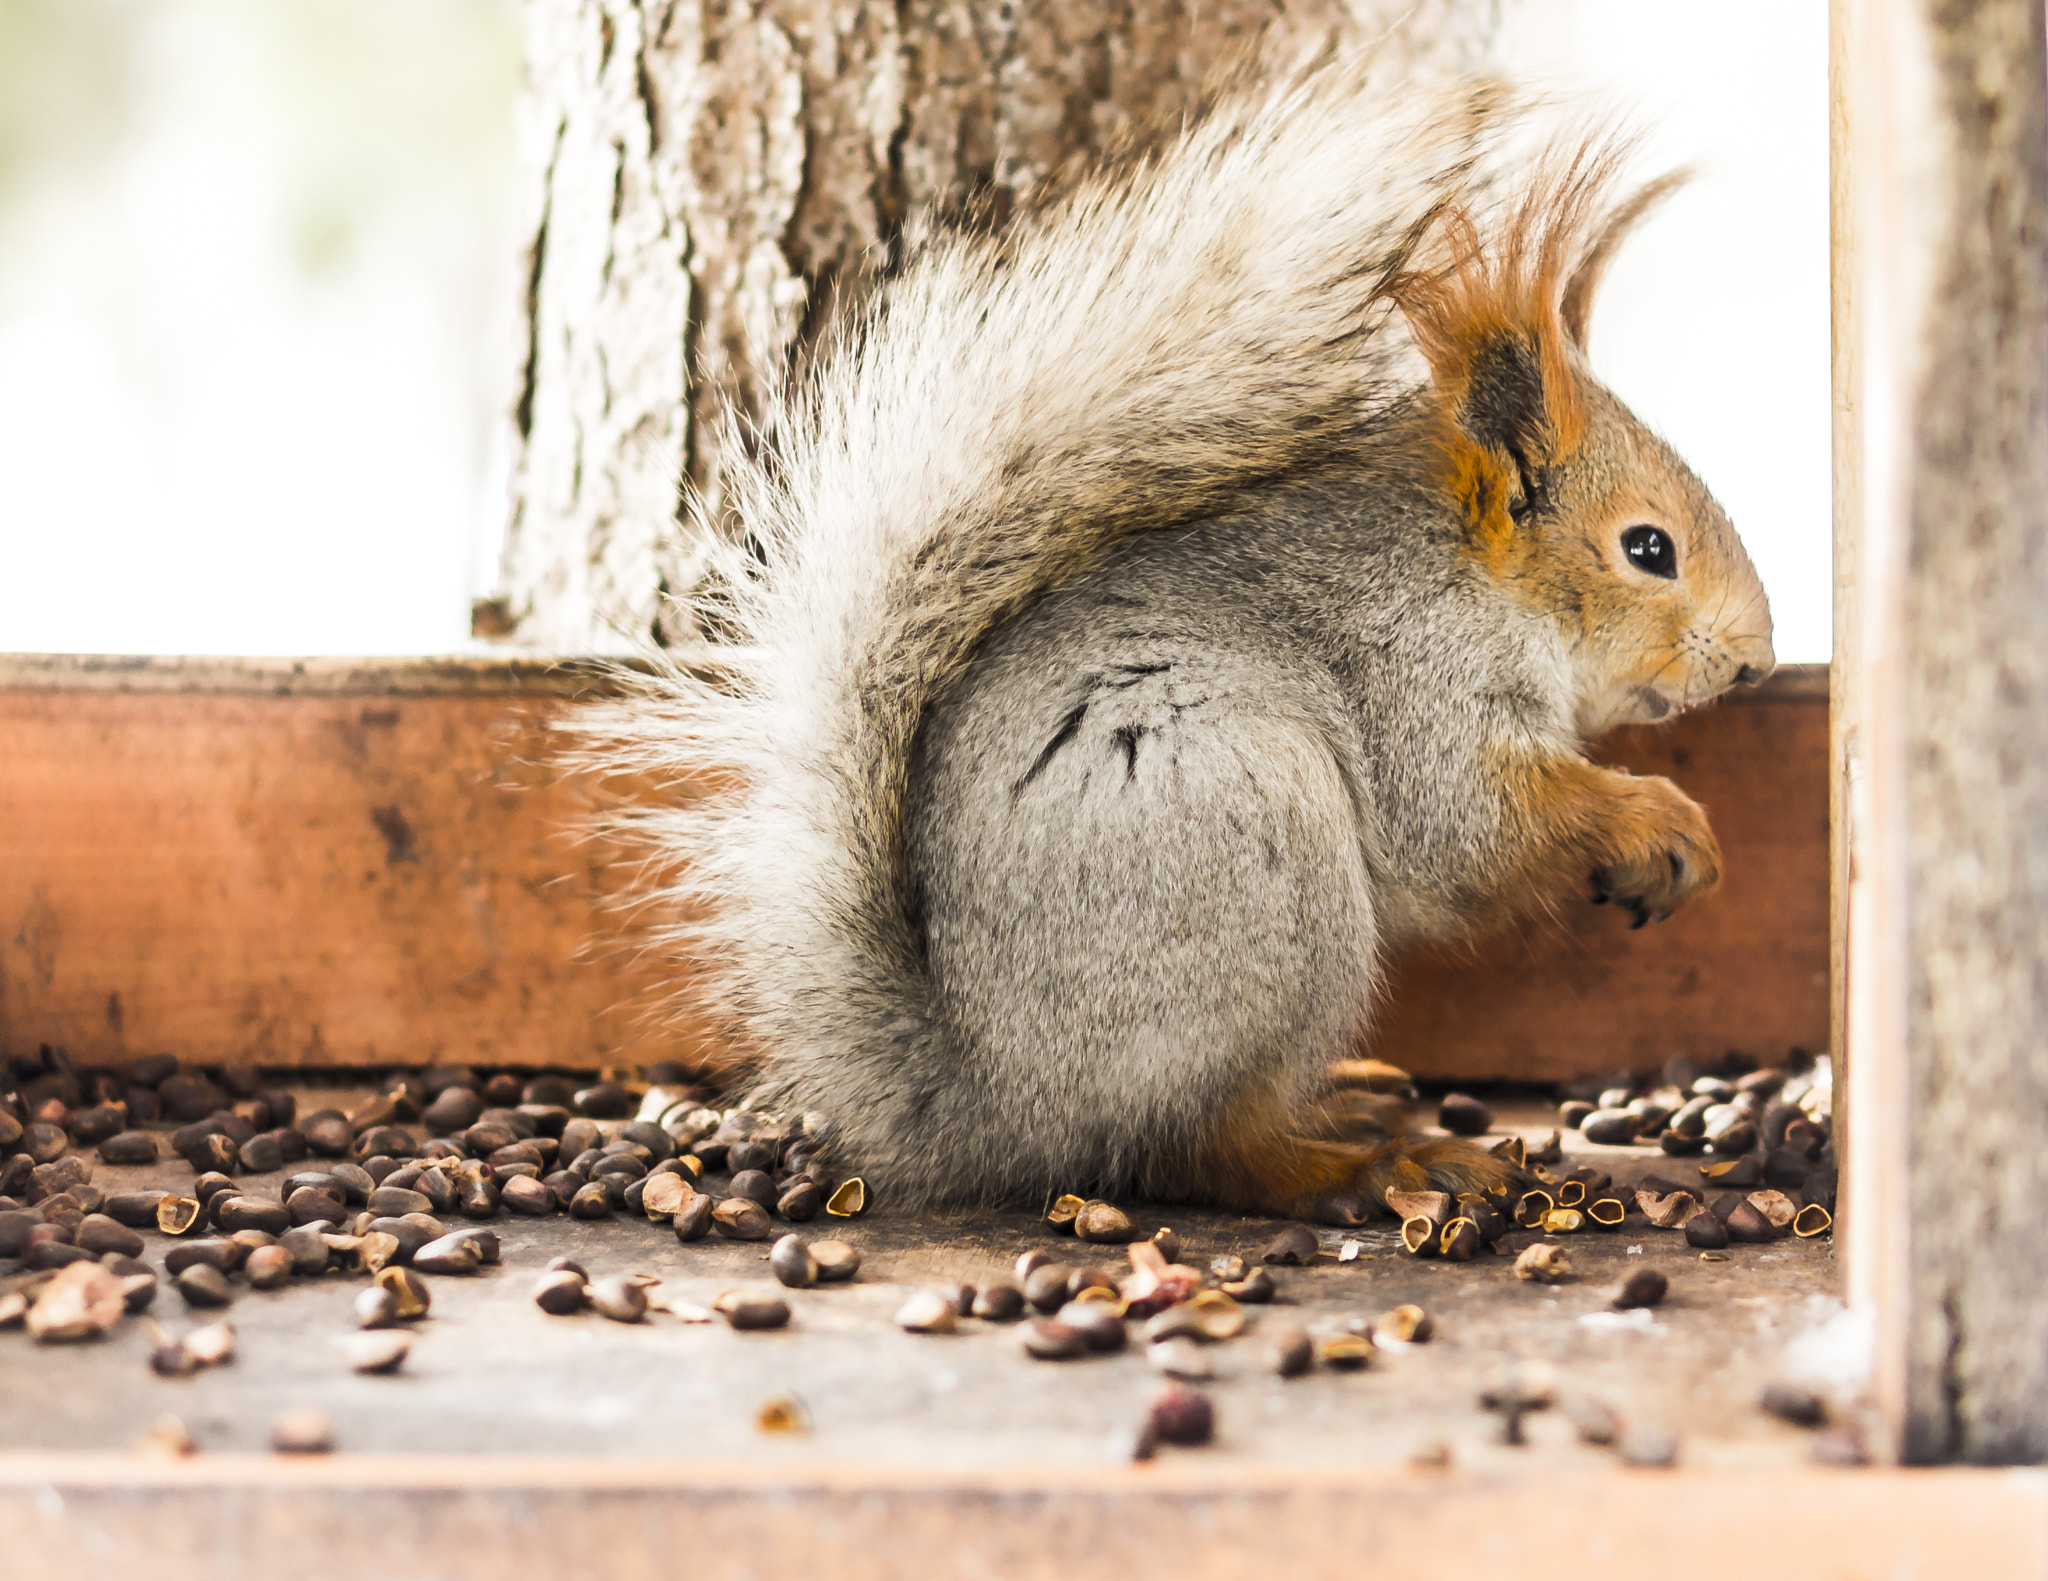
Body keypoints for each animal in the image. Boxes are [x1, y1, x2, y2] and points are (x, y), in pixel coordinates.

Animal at [598, 55, 1777, 1220]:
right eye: (1648, 549)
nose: (1756, 660)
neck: (1476, 579)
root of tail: (995, 1103)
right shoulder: (1415, 678)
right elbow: (1467, 829)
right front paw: (1658, 821)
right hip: (1258, 865)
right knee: (1200, 1150)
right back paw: (1366, 1164)